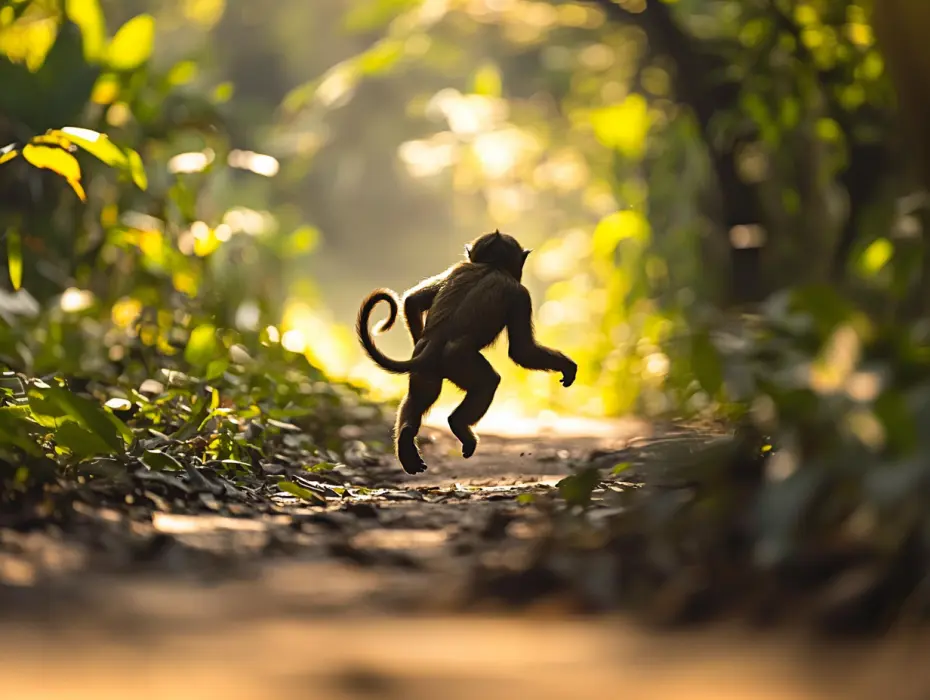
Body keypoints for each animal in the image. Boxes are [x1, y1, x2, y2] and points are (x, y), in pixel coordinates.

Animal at [356, 230, 577, 475]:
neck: (492, 265)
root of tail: (435, 342)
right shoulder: (520, 295)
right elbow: (522, 351)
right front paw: (567, 367)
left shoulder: (458, 267)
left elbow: (412, 301)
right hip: (460, 362)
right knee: (488, 382)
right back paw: (458, 424)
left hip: (428, 368)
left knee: (420, 395)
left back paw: (406, 438)